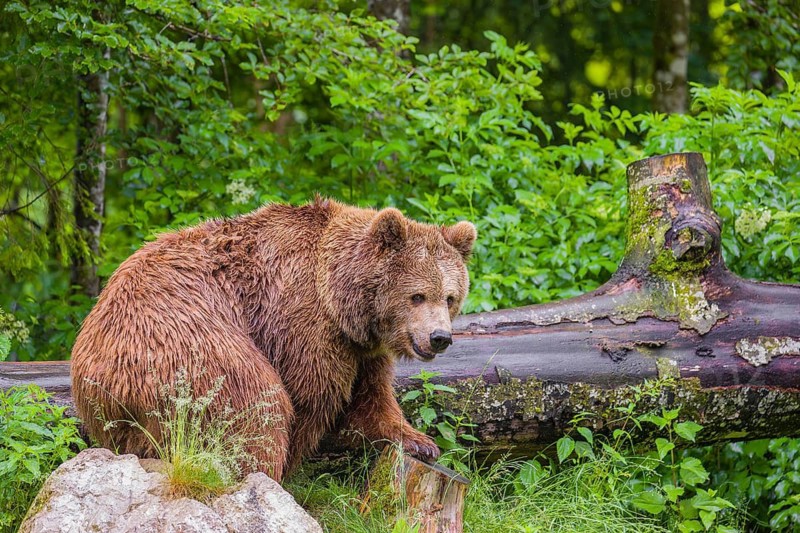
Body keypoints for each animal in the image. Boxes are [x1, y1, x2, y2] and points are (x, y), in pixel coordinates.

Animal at [71, 198, 476, 481]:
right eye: (417, 296)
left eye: (449, 297)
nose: (439, 337)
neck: (340, 298)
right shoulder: (300, 319)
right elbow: (310, 395)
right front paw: (291, 464)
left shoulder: (361, 347)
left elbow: (371, 396)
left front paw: (420, 442)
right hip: (184, 343)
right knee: (253, 404)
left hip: (116, 407)